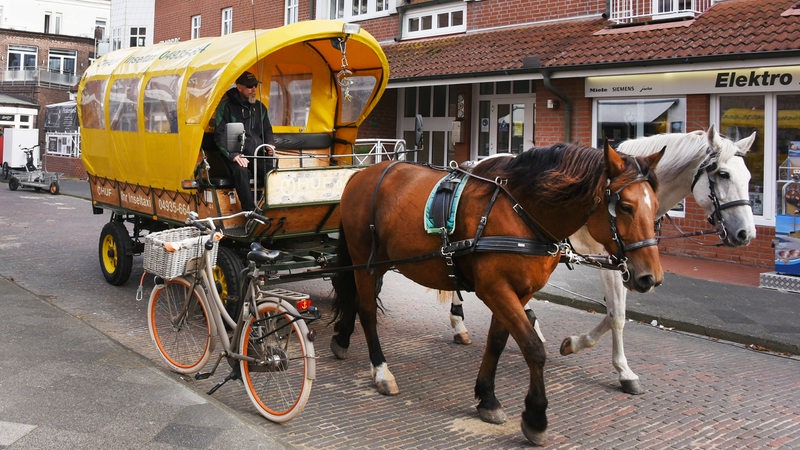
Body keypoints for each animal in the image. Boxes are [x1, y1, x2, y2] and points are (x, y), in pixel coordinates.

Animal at [328, 142, 664, 444]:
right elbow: (533, 348)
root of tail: (362, 174)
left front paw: (487, 398)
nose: (651, 277)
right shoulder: (495, 288)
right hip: (364, 260)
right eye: (626, 207)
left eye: (657, 209)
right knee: (368, 312)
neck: (522, 212)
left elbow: (498, 342)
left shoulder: (519, 292)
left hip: (380, 262)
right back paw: (381, 371)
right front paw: (536, 417)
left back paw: (342, 338)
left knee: (356, 299)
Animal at [450, 124, 756, 394]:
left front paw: (573, 343)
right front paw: (623, 371)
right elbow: (617, 315)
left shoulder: (624, 266)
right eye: (724, 174)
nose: (746, 233)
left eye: (749, 177)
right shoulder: (612, 263)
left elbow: (613, 313)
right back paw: (459, 324)